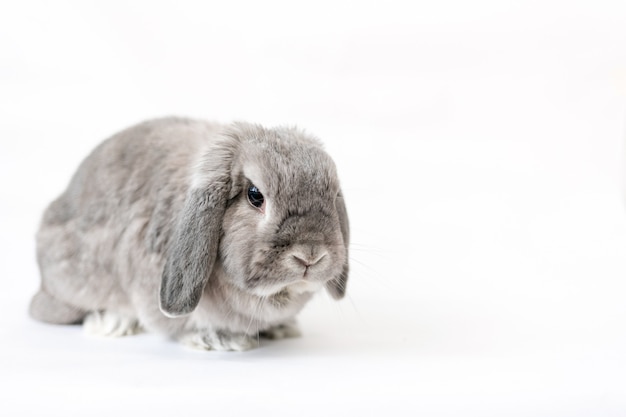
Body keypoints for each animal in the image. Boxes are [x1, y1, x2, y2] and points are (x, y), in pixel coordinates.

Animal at [29, 117, 348, 352]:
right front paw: (219, 340)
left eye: (332, 195)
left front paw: (282, 328)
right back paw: (111, 321)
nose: (310, 255)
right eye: (255, 195)